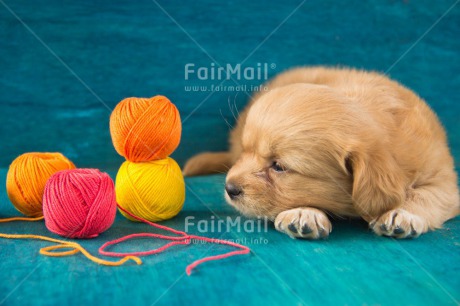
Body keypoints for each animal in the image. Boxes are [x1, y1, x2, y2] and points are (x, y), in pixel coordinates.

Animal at [184, 66, 460, 239]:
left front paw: (402, 212)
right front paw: (303, 212)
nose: (229, 188)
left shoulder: (444, 179)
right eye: (246, 151)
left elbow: (428, 194)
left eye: (279, 167)